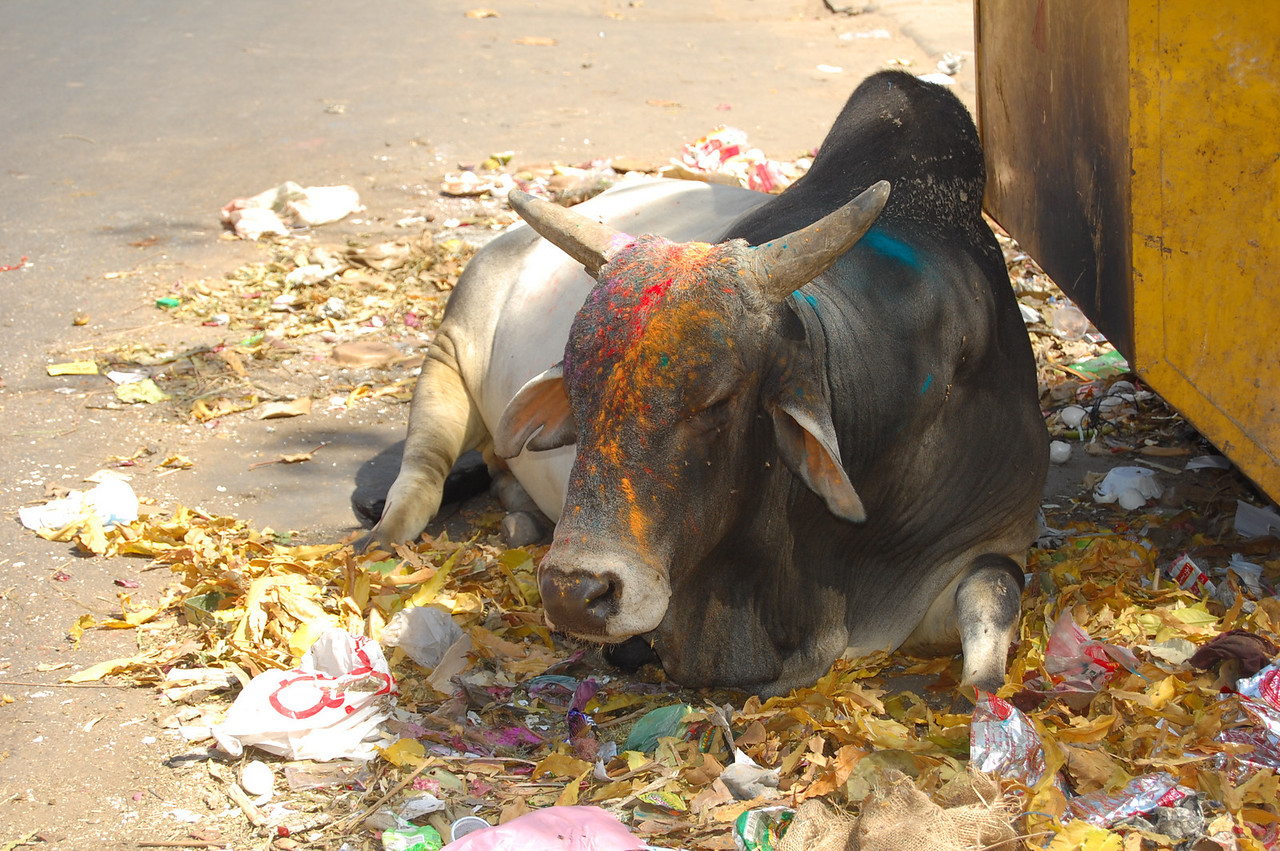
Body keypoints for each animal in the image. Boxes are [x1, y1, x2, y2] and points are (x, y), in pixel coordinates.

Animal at [369, 70, 1049, 697]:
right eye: (579, 398)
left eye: (717, 402)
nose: (572, 592)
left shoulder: (996, 540)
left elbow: (989, 624)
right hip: (448, 352)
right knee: (422, 474)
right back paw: (385, 537)